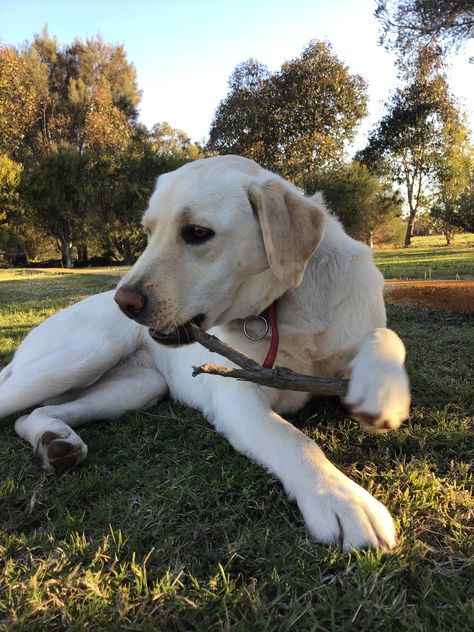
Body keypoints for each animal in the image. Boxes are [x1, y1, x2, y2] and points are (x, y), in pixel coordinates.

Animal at [0, 157, 410, 548]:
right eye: (148, 232)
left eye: (197, 233)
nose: (125, 302)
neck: (289, 304)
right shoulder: (239, 400)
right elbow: (296, 441)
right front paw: (342, 500)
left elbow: (387, 335)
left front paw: (383, 390)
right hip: (86, 353)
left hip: (137, 386)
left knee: (35, 414)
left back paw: (56, 442)